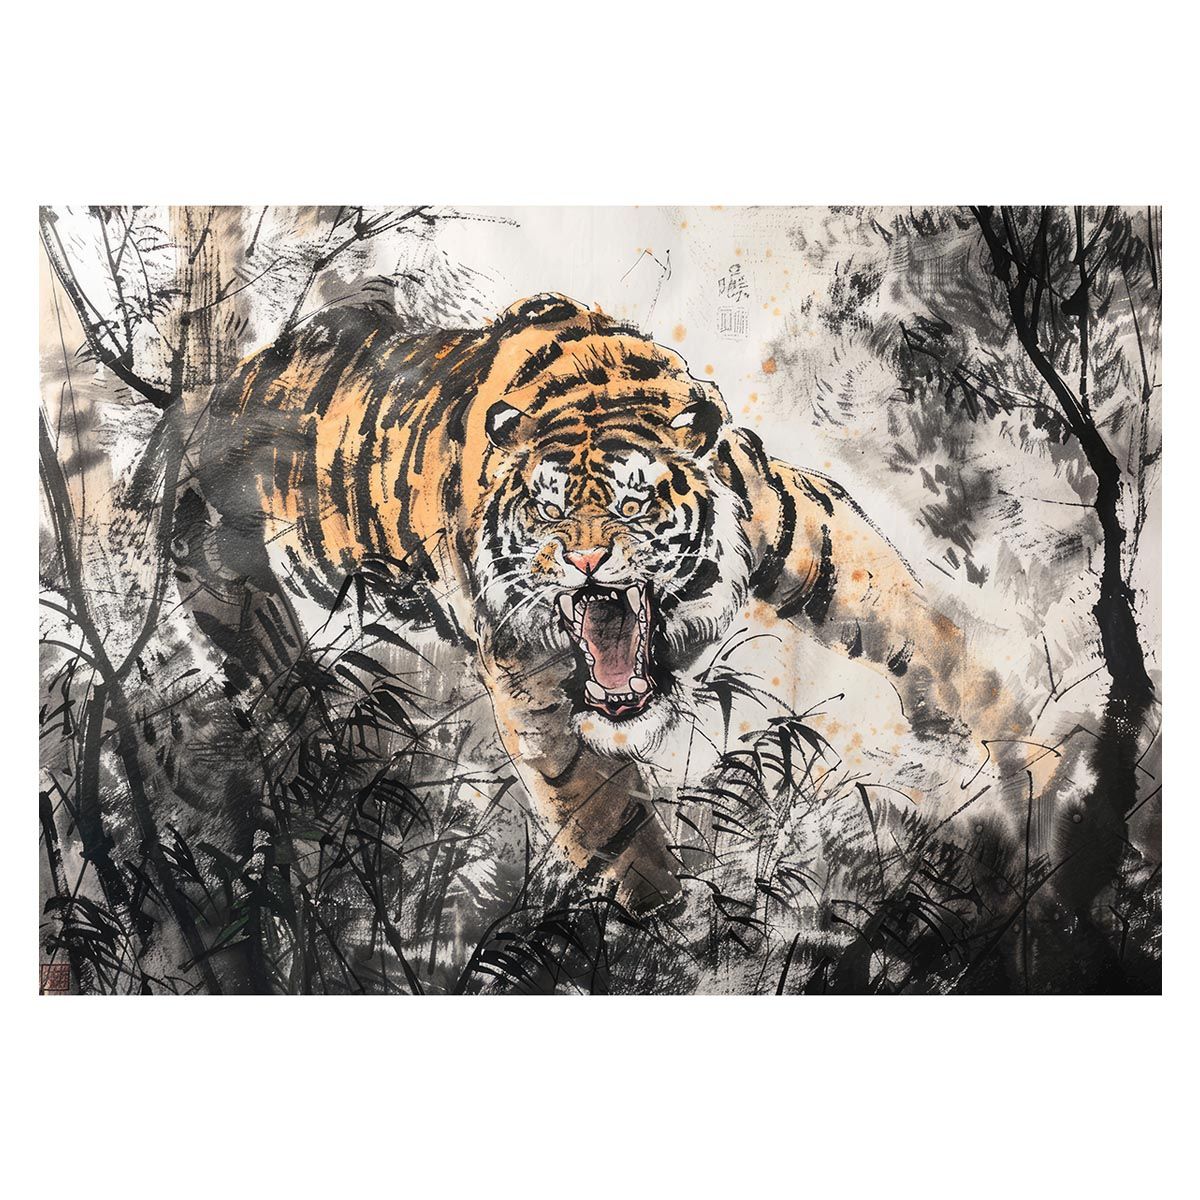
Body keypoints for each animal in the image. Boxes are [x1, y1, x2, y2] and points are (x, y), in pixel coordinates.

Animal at [194, 293, 1038, 913]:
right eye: (546, 509)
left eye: (635, 503)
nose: (585, 560)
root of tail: (216, 394)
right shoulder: (534, 686)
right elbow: (607, 820)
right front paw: (671, 928)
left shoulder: (801, 521)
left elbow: (912, 618)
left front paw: (982, 737)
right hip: (235, 606)